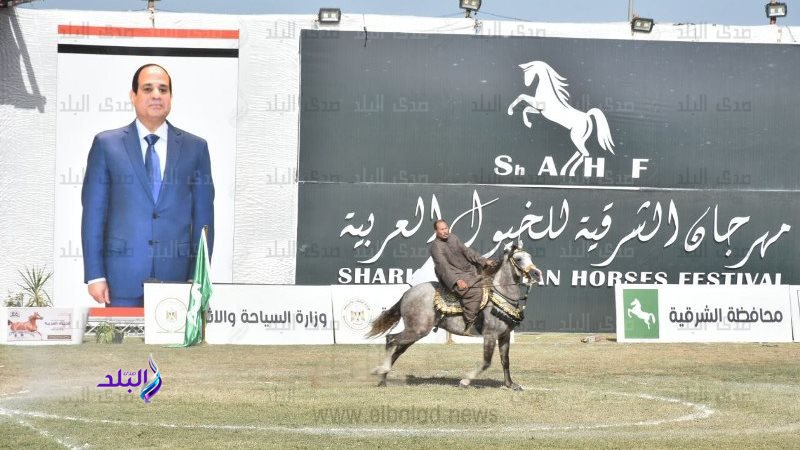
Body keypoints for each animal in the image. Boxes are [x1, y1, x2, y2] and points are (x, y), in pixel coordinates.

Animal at [366, 243, 540, 390]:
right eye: (519, 259)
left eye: (530, 256)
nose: (536, 273)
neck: (500, 294)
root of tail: (408, 292)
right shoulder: (490, 335)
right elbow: (486, 362)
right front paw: (465, 381)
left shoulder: (504, 336)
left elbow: (505, 361)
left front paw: (510, 385)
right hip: (417, 330)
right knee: (391, 339)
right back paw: (381, 370)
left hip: (415, 332)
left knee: (397, 350)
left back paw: (383, 379)